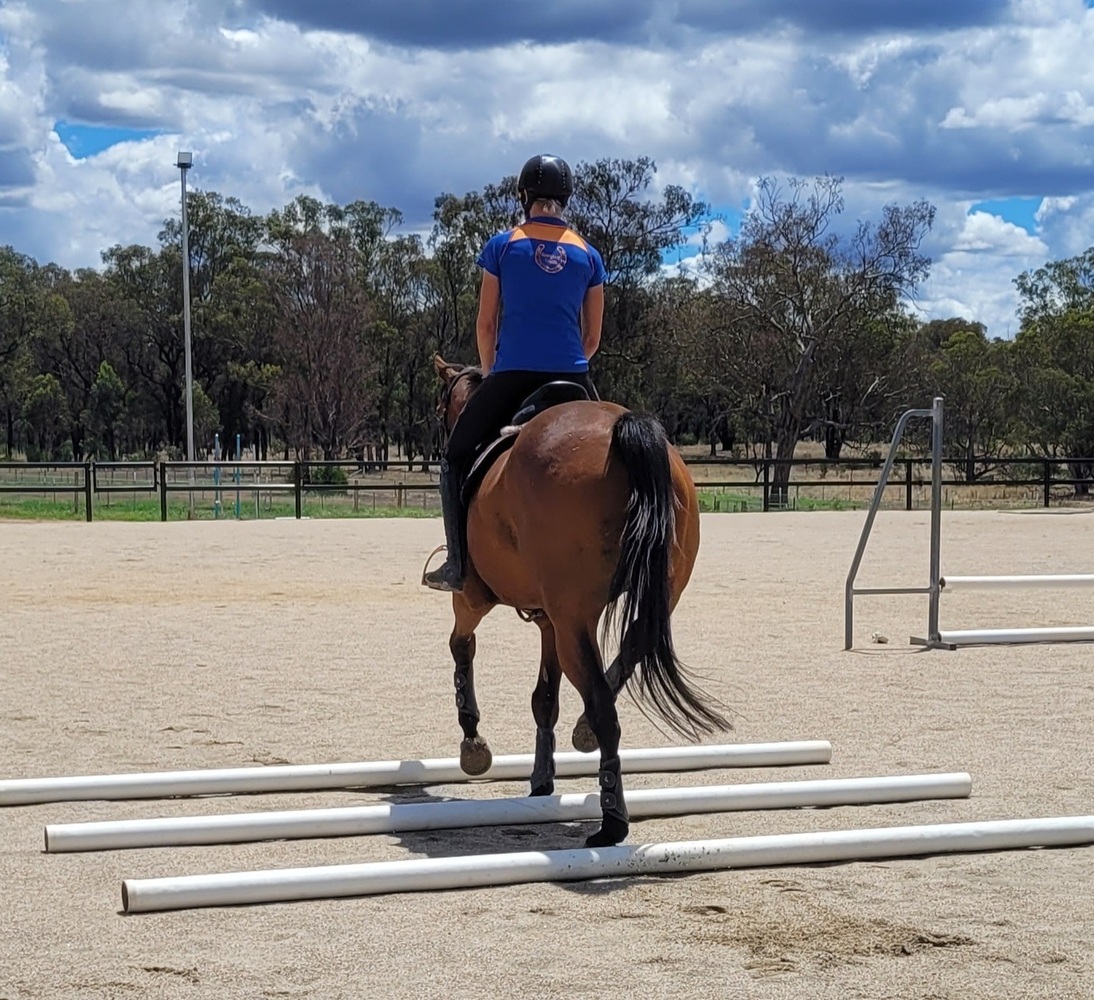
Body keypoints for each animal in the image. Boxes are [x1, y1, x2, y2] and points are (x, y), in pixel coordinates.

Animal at [430, 355, 729, 847]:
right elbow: (544, 699)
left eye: (441, 409)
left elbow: (461, 647)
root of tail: (622, 428)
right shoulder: (549, 620)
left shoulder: (473, 598)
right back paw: (586, 733)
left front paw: (472, 740)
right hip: (642, 601)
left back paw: (612, 821)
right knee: (626, 657)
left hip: (571, 618)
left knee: (604, 705)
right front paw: (541, 778)